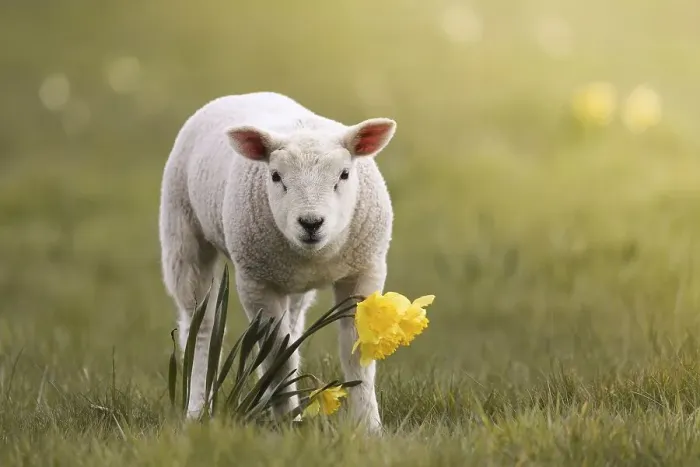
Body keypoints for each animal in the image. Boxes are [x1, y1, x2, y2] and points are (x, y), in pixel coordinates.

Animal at [158, 91, 397, 434]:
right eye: (275, 176)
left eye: (344, 174)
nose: (311, 223)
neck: (317, 254)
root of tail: (244, 93)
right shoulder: (256, 281)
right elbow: (277, 354)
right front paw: (287, 422)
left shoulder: (365, 271)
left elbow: (357, 350)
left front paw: (368, 427)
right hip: (184, 234)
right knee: (200, 326)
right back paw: (198, 409)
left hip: (292, 283)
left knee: (292, 328)